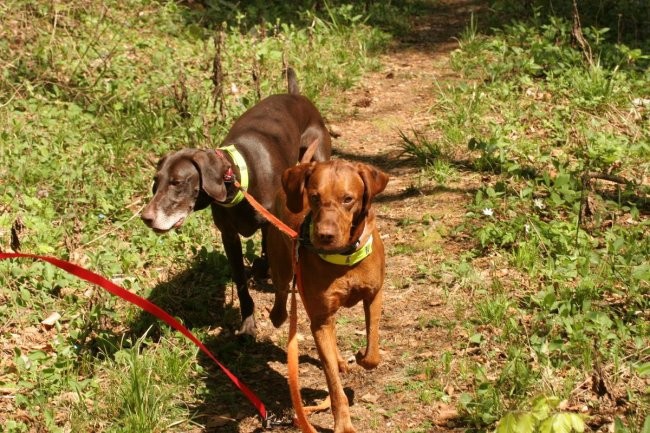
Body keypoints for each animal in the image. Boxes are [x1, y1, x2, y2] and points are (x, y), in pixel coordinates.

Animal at [144, 70, 332, 334]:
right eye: (156, 181)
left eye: (177, 182)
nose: (146, 218)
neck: (240, 180)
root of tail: (296, 96)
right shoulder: (229, 236)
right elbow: (240, 279)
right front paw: (247, 320)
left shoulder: (272, 226)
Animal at [266, 159, 388, 432]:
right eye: (314, 197)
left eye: (348, 199)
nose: (324, 236)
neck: (345, 259)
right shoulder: (320, 320)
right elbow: (333, 384)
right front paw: (343, 424)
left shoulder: (374, 295)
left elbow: (373, 352)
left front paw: (361, 356)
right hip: (281, 263)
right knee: (281, 291)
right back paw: (278, 315)